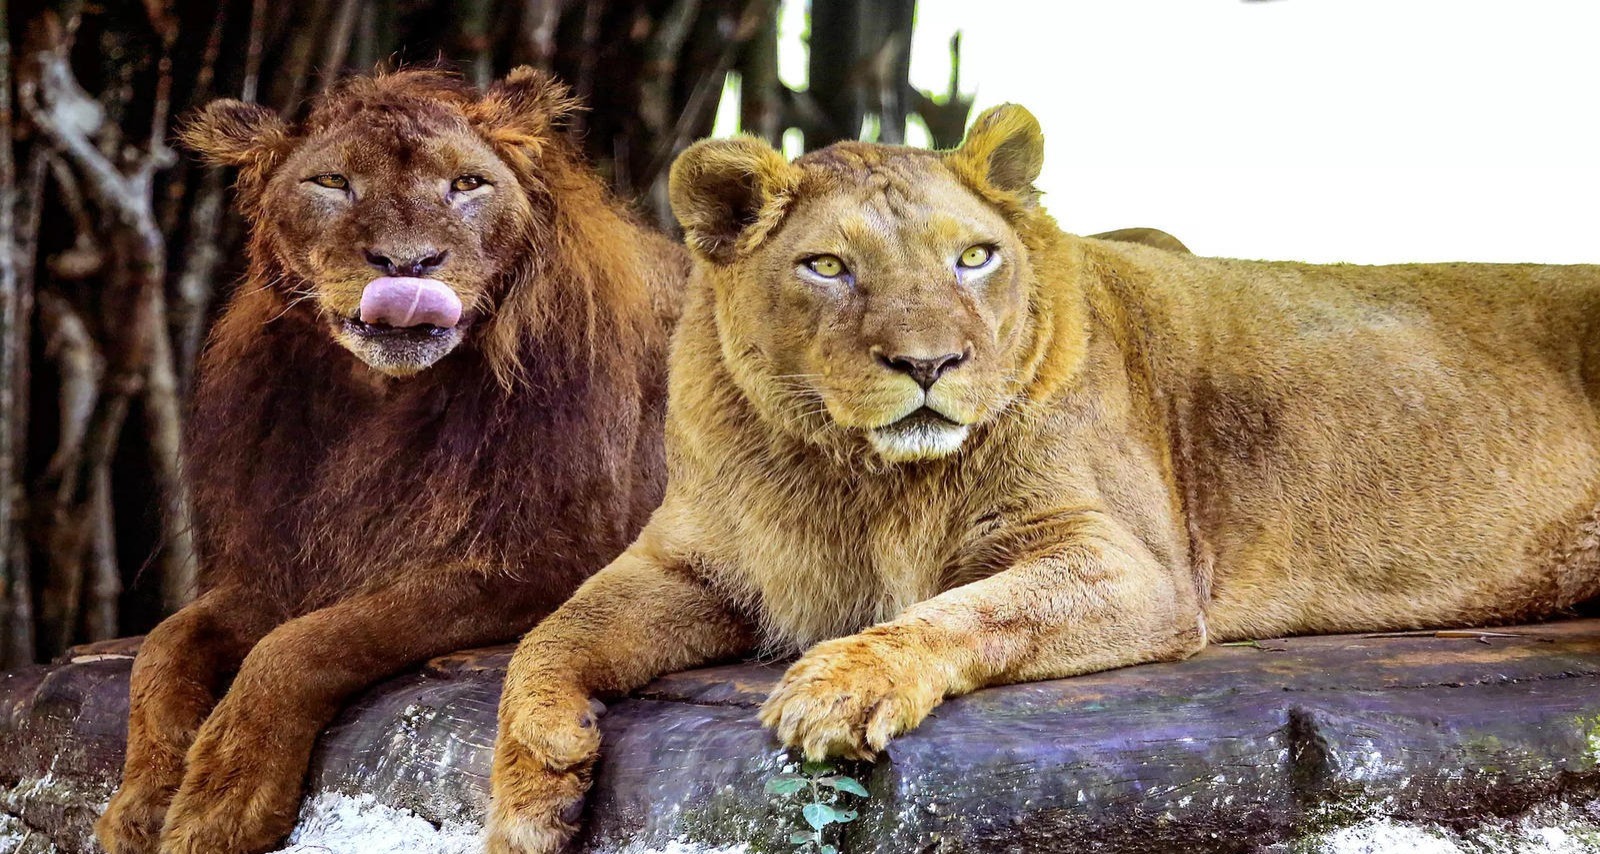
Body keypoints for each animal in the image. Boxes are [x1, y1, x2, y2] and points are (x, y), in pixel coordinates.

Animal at [93, 68, 681, 854]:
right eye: (333, 182)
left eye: (467, 183)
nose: (408, 265)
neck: (384, 403)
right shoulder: (286, 563)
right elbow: (162, 649)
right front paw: (140, 804)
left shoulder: (545, 563)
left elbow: (304, 645)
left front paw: (223, 799)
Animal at [480, 103, 1600, 850]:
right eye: (828, 268)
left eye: (974, 257)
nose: (930, 364)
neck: (858, 475)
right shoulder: (690, 564)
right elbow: (548, 632)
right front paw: (535, 783)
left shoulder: (1135, 567)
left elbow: (962, 611)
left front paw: (840, 684)